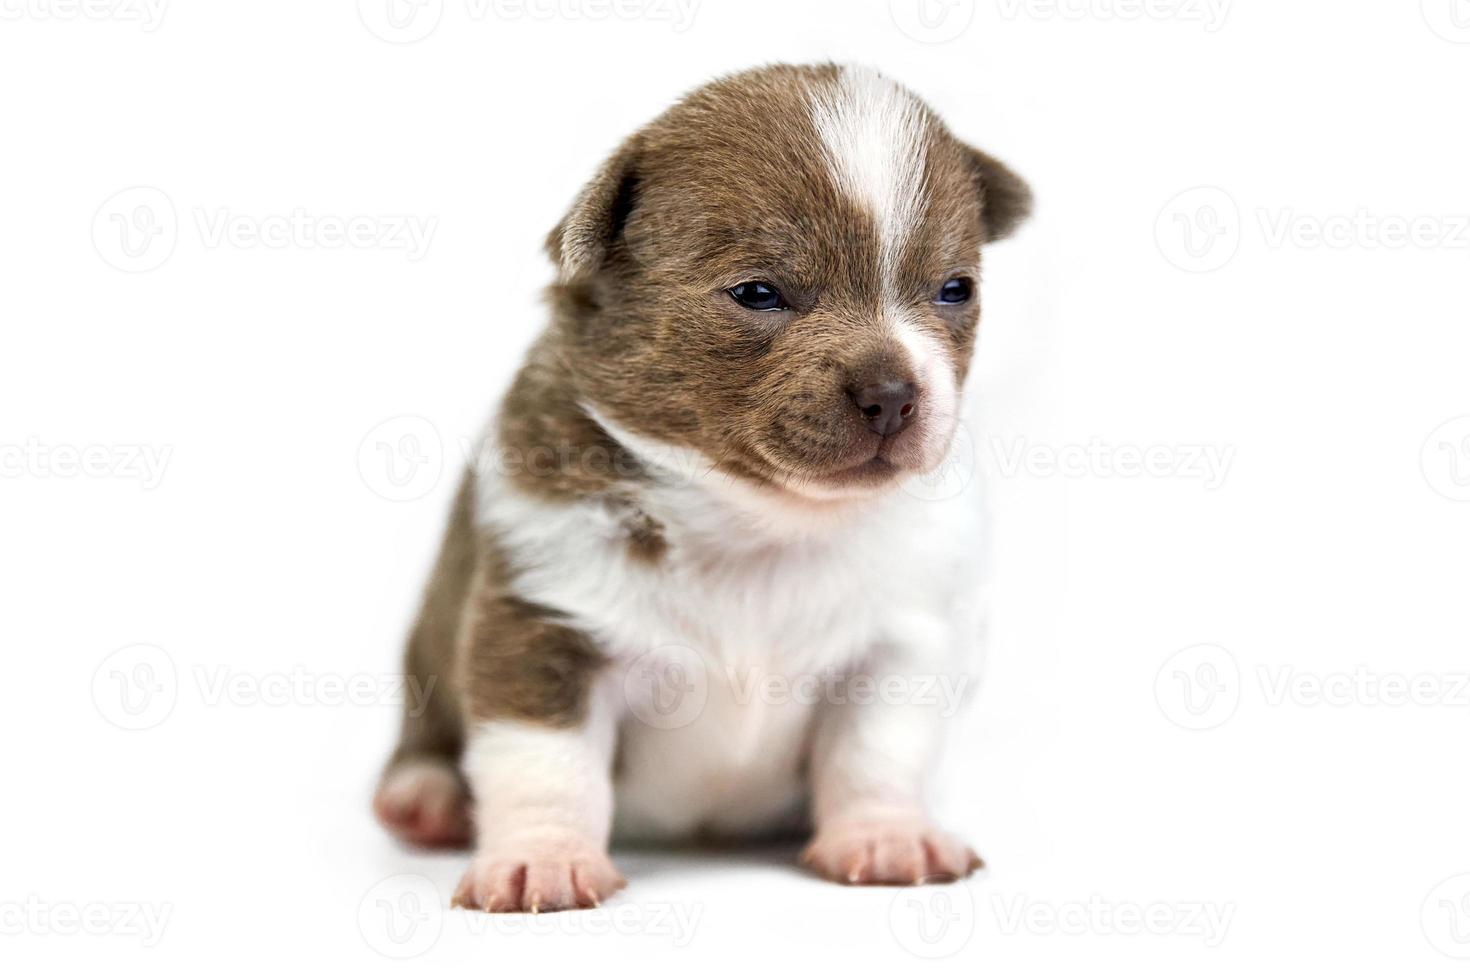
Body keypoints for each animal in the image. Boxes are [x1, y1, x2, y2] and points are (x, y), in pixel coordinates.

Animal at [373, 65, 1029, 916]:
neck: (760, 522)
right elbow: (544, 762)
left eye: (955, 289)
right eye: (757, 294)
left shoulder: (902, 643)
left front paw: (887, 835)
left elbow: (878, 752)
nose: (893, 393)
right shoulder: (542, 624)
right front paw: (542, 859)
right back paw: (427, 797)